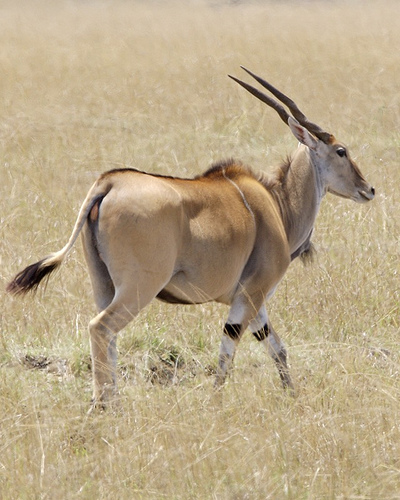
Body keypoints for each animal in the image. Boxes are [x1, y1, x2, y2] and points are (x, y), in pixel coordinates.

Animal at [6, 68, 376, 408]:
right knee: (101, 327)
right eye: (341, 151)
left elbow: (276, 347)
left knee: (107, 337)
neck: (276, 203)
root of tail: (109, 182)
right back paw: (104, 405)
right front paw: (216, 399)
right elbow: (229, 349)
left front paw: (291, 395)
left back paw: (113, 403)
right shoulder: (251, 294)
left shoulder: (255, 303)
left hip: (104, 286)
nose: (369, 189)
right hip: (139, 288)